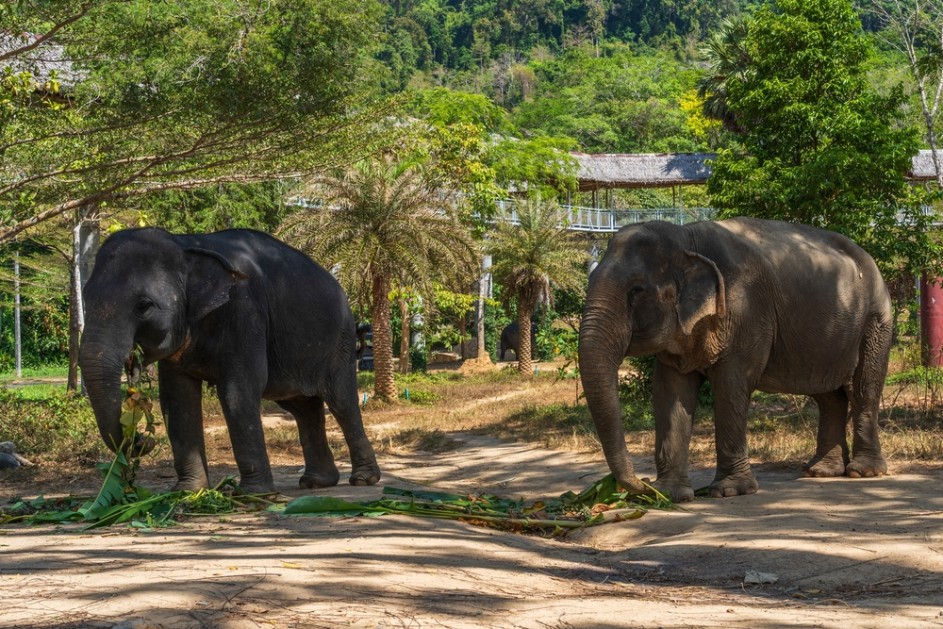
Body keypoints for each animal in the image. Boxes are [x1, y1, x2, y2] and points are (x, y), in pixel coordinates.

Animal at [79, 227, 381, 494]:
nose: (142, 439)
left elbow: (238, 390)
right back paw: (316, 483)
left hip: (339, 343)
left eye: (143, 306)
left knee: (342, 402)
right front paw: (188, 492)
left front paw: (253, 494)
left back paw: (363, 480)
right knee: (303, 407)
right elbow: (177, 399)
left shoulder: (244, 312)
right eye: (85, 299)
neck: (185, 243)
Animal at [578, 217, 892, 502]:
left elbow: (730, 385)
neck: (686, 238)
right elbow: (670, 390)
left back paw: (863, 472)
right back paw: (821, 471)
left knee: (863, 389)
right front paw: (669, 495)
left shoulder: (746, 311)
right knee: (828, 396)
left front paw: (729, 492)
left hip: (876, 320)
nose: (643, 484)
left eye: (636, 291)